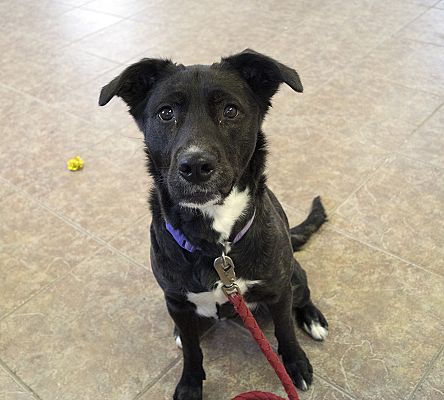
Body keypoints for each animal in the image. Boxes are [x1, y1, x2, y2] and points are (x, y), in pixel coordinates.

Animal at [101, 48, 330, 398]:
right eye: (166, 113)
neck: (215, 243)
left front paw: (295, 364)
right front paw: (189, 384)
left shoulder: (278, 290)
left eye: (230, 110)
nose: (195, 166)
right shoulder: (176, 301)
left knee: (303, 296)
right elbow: (193, 350)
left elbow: (285, 331)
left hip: (294, 274)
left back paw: (314, 319)